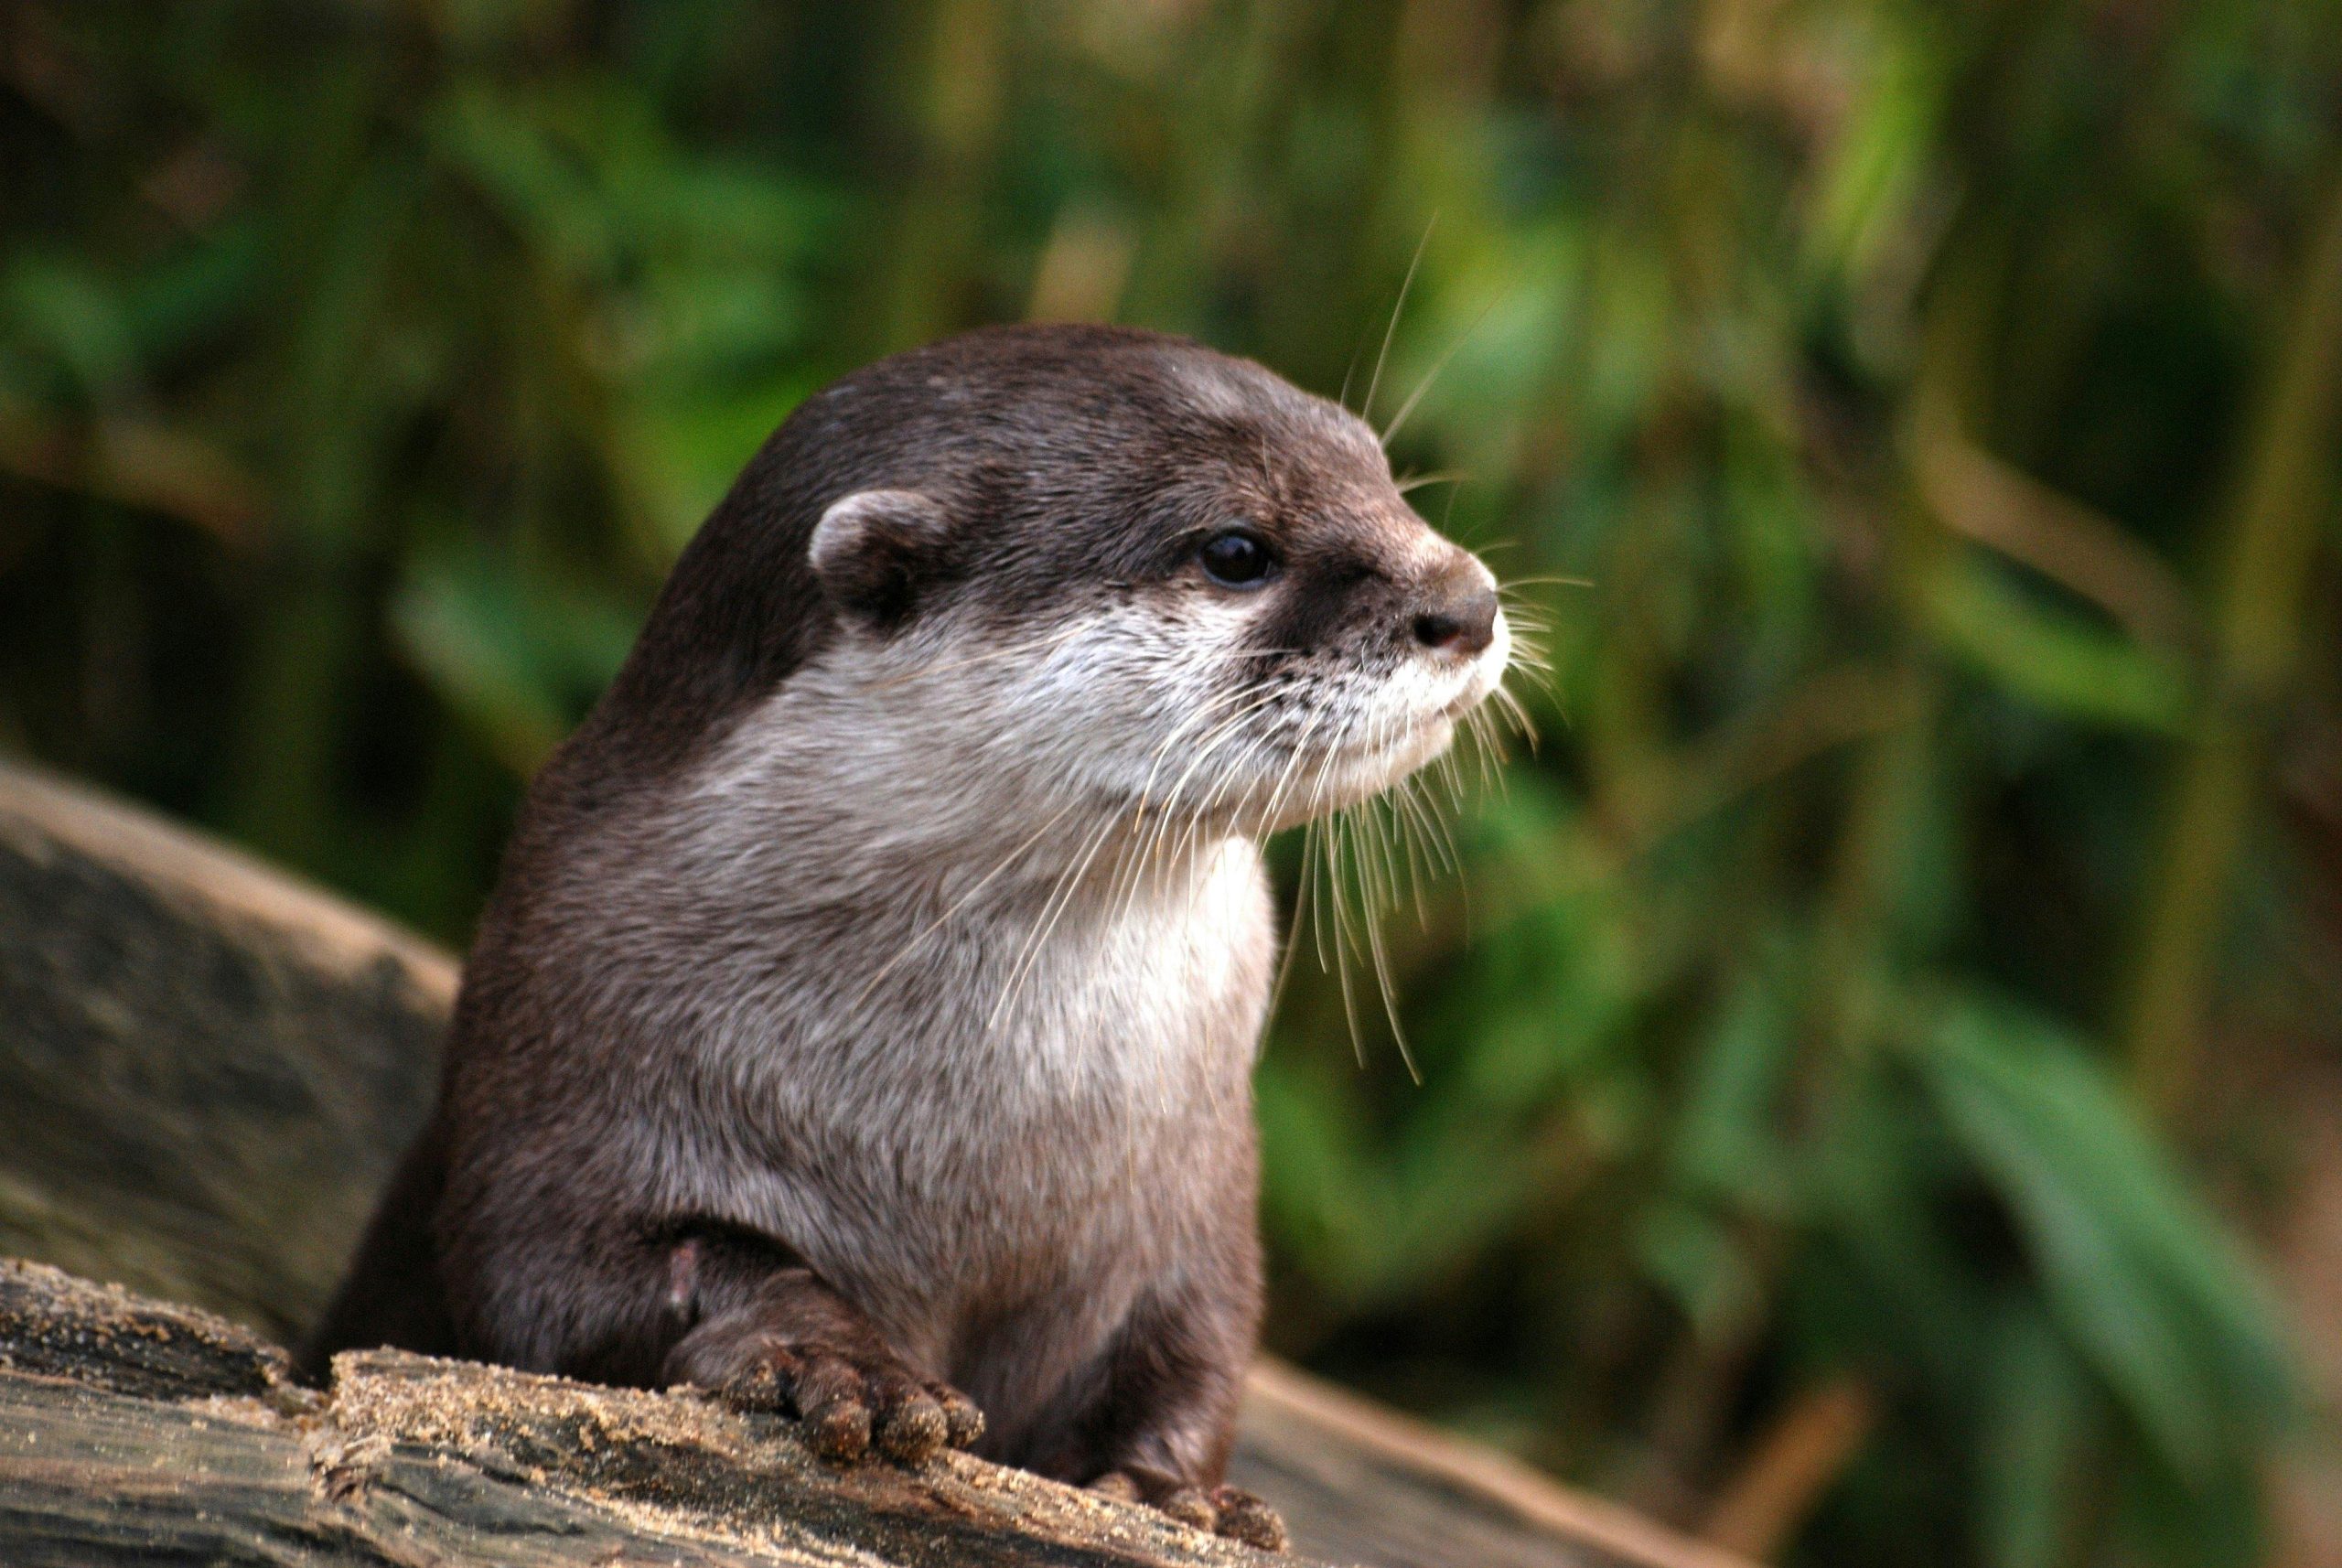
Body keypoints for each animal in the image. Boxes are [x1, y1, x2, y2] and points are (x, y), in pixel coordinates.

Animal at [307, 323, 1509, 1549]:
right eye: (1234, 550)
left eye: (1380, 472)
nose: (1466, 600)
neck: (970, 1145)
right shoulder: (559, 1049)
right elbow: (565, 1281)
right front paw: (831, 1359)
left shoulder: (1196, 1202)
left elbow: (1197, 1350)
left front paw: (1173, 1490)